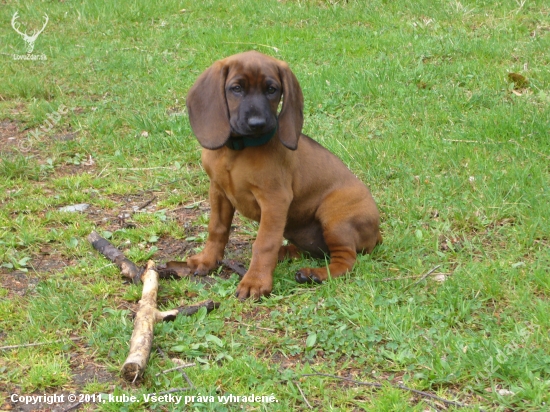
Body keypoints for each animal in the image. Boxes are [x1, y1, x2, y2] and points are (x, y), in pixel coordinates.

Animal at [188, 51, 382, 300]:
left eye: (272, 89)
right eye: (236, 88)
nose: (258, 123)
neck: (237, 150)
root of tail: (376, 233)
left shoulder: (275, 200)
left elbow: (264, 243)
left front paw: (256, 281)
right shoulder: (218, 191)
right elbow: (216, 229)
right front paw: (208, 260)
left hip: (335, 218)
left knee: (346, 259)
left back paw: (314, 274)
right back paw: (286, 253)